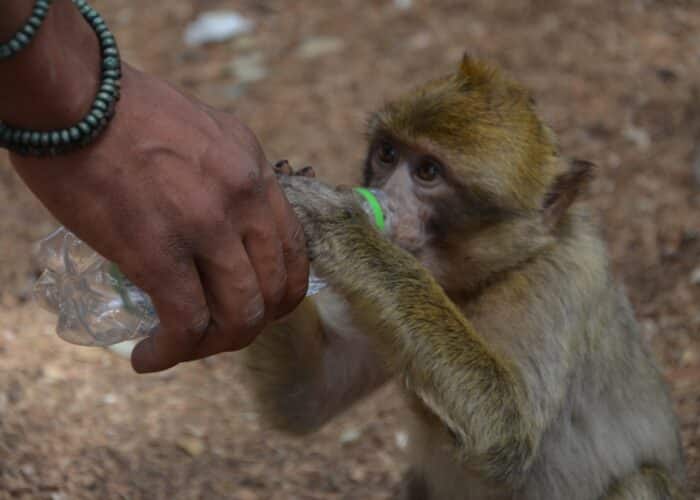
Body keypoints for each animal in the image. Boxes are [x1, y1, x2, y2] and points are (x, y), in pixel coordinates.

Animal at [241, 56, 684, 498]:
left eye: (427, 171)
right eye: (387, 153)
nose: (386, 196)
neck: (487, 278)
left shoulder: (559, 282)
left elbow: (507, 429)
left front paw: (346, 227)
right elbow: (304, 397)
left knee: (640, 482)